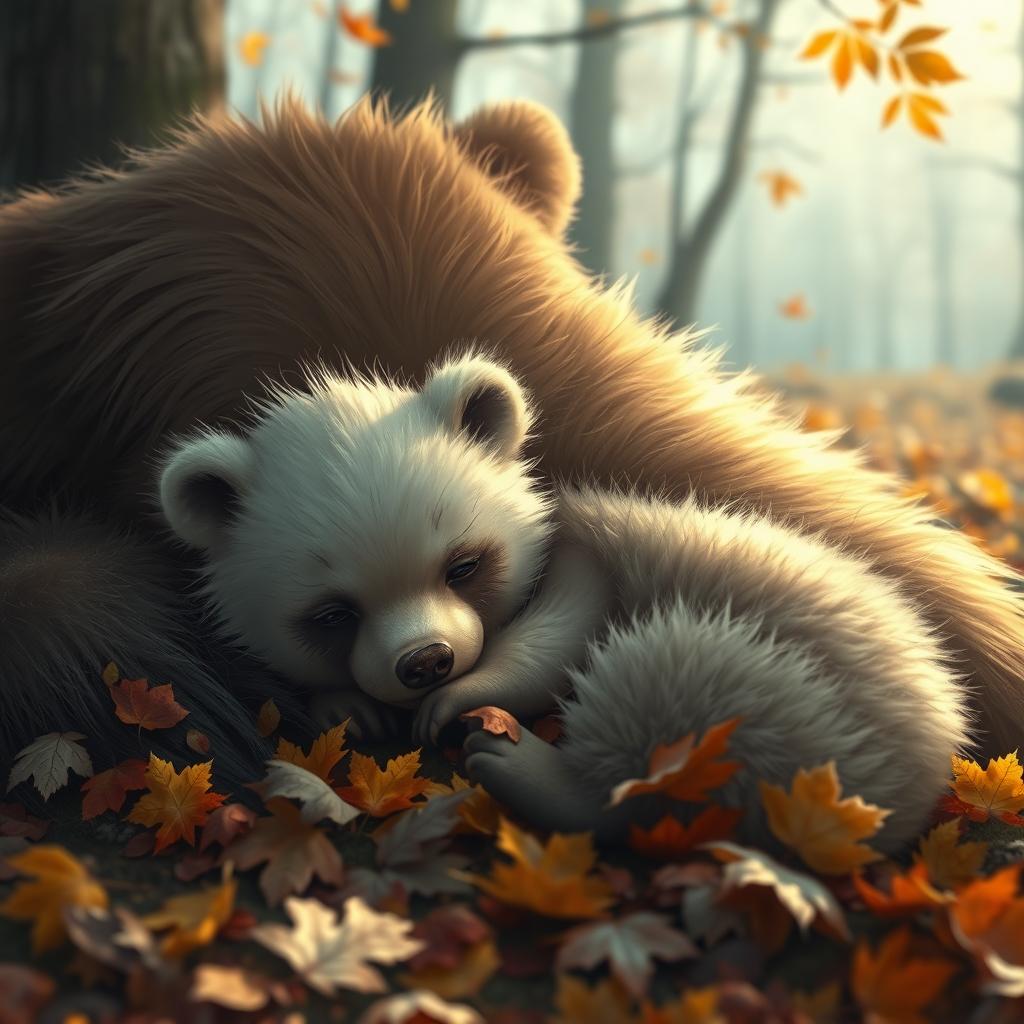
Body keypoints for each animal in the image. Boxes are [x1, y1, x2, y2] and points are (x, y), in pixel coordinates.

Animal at [157, 351, 968, 849]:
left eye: (462, 565)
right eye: (333, 613)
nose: (427, 661)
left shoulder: (589, 553)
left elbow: (558, 634)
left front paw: (467, 698)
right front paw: (345, 703)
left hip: (777, 685)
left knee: (658, 699)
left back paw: (531, 768)